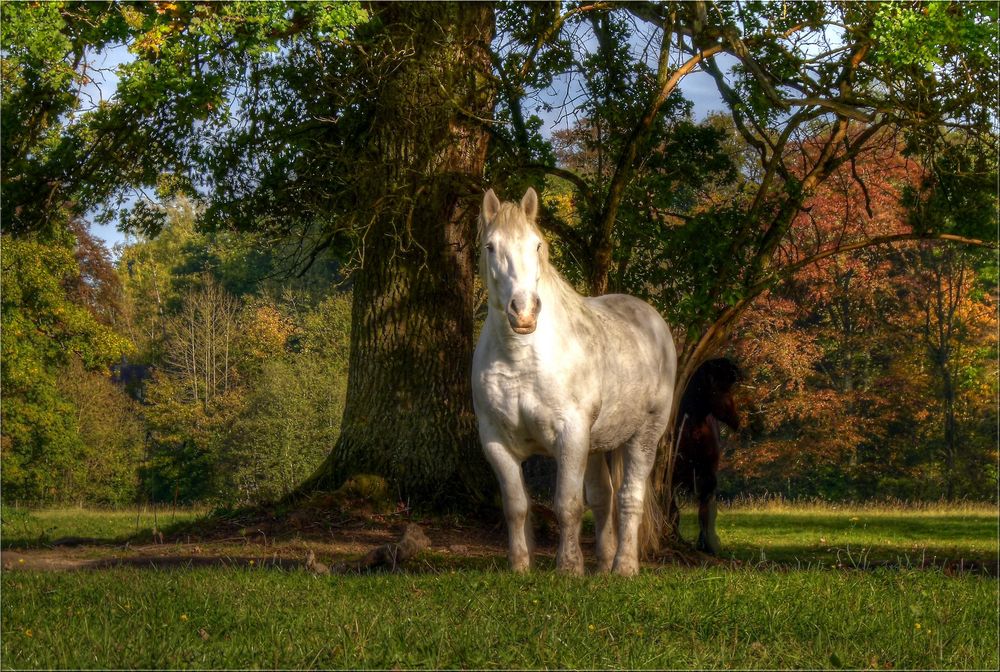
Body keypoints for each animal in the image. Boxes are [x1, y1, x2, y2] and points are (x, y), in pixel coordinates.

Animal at [470, 186, 680, 576]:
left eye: (537, 244)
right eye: (490, 246)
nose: (524, 311)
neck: (521, 360)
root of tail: (651, 319)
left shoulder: (571, 435)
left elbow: (567, 503)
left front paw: (568, 568)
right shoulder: (496, 441)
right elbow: (516, 506)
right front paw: (520, 566)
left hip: (644, 436)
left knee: (628, 498)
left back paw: (624, 567)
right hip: (597, 445)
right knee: (603, 498)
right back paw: (603, 565)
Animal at [664, 360, 744, 552]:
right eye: (721, 388)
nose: (736, 420)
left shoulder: (708, 475)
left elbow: (706, 513)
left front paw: (707, 544)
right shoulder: (671, 478)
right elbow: (674, 512)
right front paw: (676, 537)